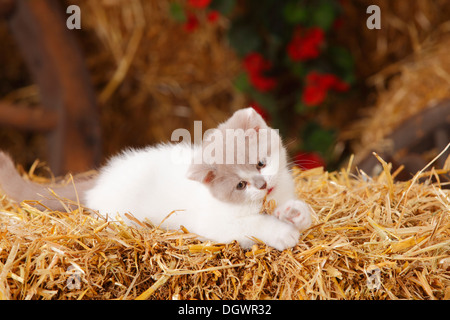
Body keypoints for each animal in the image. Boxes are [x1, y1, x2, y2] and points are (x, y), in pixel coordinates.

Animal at [0, 107, 312, 250]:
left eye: (261, 164)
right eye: (240, 185)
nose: (263, 185)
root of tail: (100, 180)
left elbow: (304, 212)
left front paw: (294, 214)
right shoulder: (218, 224)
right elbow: (253, 225)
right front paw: (282, 233)